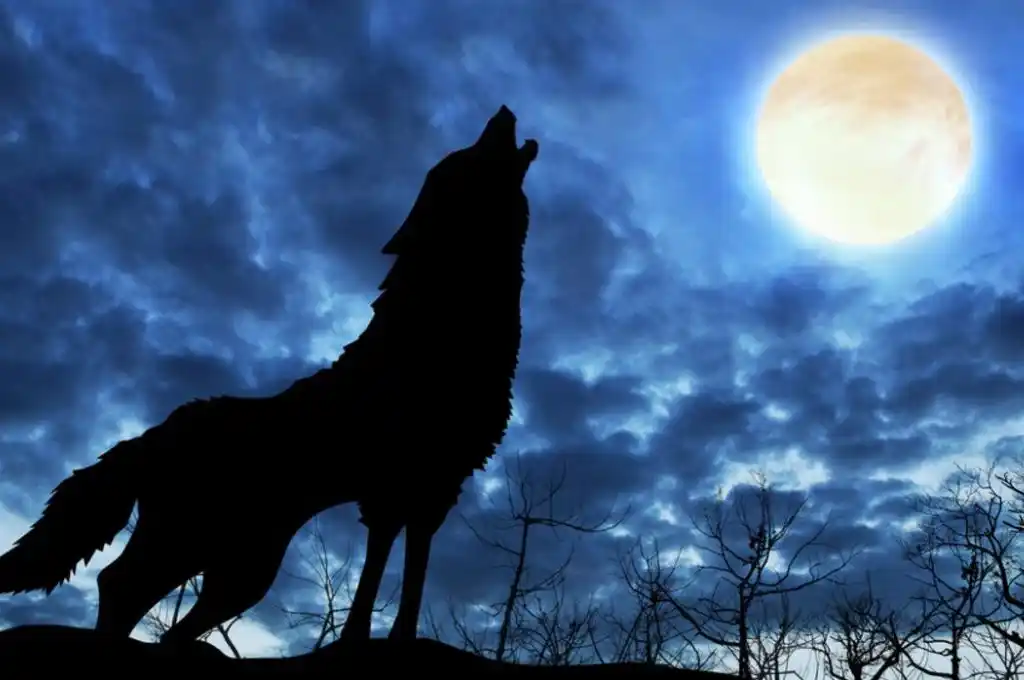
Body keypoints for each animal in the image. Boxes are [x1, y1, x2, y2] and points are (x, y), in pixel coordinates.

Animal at [0, 105, 538, 645]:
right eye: (463, 156)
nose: (503, 110)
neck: (440, 332)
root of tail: (152, 434)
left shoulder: (429, 486)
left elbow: (405, 566)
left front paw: (389, 637)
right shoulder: (400, 487)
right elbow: (385, 568)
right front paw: (367, 638)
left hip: (239, 569)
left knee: (156, 611)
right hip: (197, 546)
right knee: (118, 584)